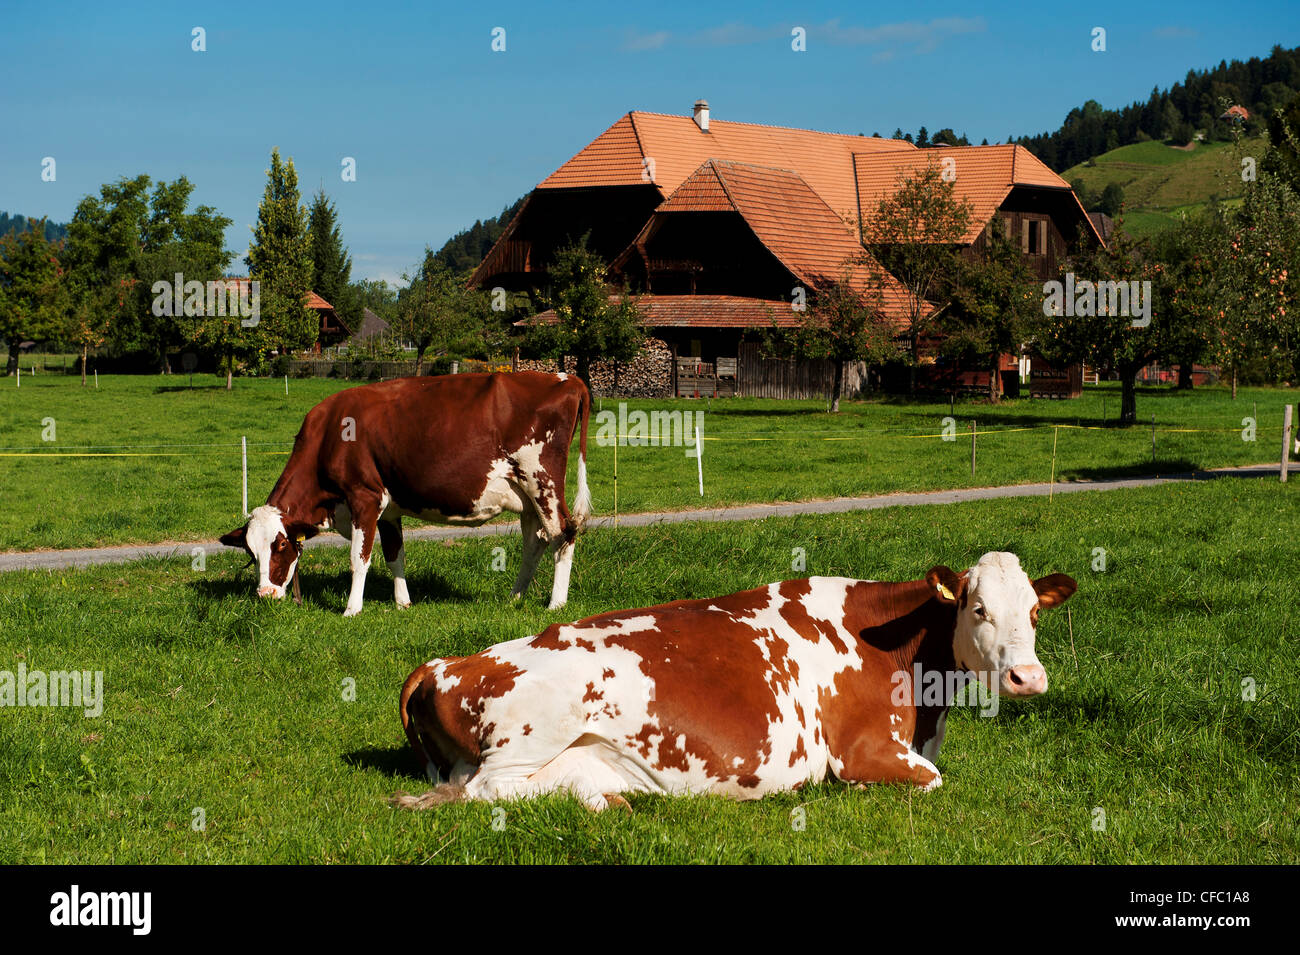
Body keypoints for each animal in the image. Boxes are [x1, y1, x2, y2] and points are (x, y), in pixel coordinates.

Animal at [219, 369, 595, 615]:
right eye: (251, 552)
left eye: (281, 546)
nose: (265, 594)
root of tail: (566, 378)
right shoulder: (389, 509)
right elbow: (394, 555)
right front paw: (403, 602)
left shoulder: (365, 497)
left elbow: (359, 559)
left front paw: (351, 609)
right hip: (527, 496)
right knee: (535, 544)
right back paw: (515, 597)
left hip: (542, 480)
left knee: (563, 534)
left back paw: (555, 603)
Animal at [392, 553, 1076, 805]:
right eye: (978, 608)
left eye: (1035, 612)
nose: (1027, 677)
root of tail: (445, 662)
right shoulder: (860, 750)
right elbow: (931, 778)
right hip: (534, 730)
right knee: (485, 791)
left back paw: (606, 800)